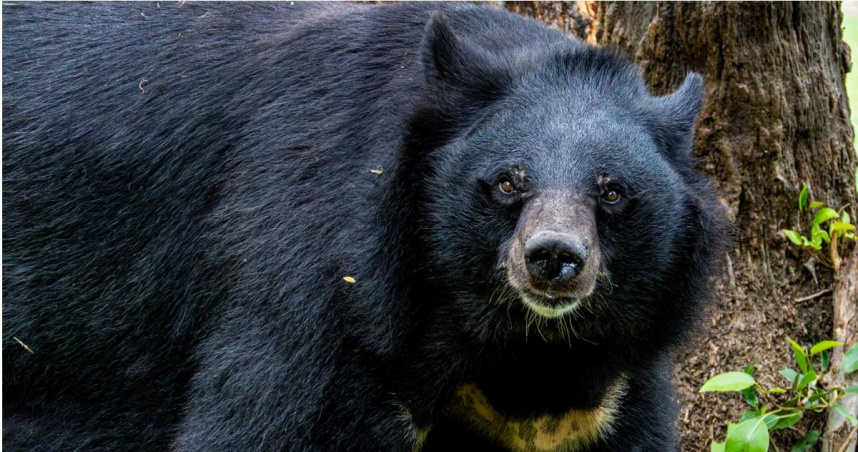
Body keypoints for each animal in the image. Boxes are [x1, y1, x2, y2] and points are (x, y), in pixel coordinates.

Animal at [3, 2, 727, 451]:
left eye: (613, 192)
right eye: (506, 182)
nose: (553, 258)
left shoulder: (605, 386)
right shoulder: (318, 270)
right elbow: (265, 417)